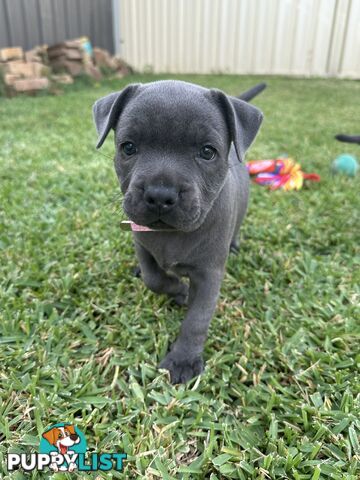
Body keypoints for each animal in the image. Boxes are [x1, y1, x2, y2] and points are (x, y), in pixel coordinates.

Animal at [92, 80, 262, 384]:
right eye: (128, 147)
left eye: (207, 152)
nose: (160, 195)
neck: (172, 234)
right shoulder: (142, 245)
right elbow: (154, 278)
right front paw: (179, 290)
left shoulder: (209, 275)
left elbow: (197, 319)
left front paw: (183, 359)